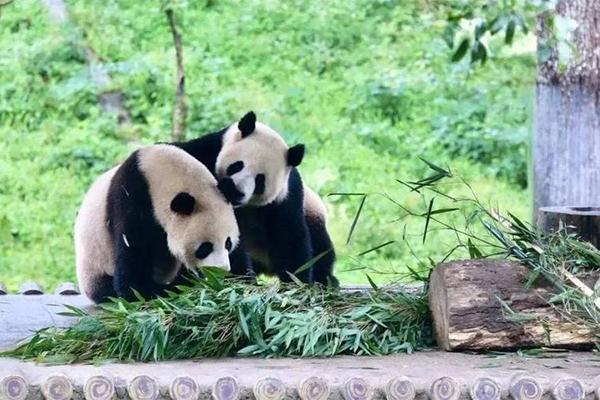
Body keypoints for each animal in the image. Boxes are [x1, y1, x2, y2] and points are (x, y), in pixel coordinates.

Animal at [76, 142, 240, 302]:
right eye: (205, 248)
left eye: (228, 243)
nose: (221, 271)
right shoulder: (131, 200)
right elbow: (132, 266)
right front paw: (168, 288)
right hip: (94, 265)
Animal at [172, 111, 338, 284]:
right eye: (237, 165)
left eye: (260, 180)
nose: (235, 191)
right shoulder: (203, 158)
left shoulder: (286, 196)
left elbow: (289, 239)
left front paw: (297, 281)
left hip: (313, 210)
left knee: (321, 245)